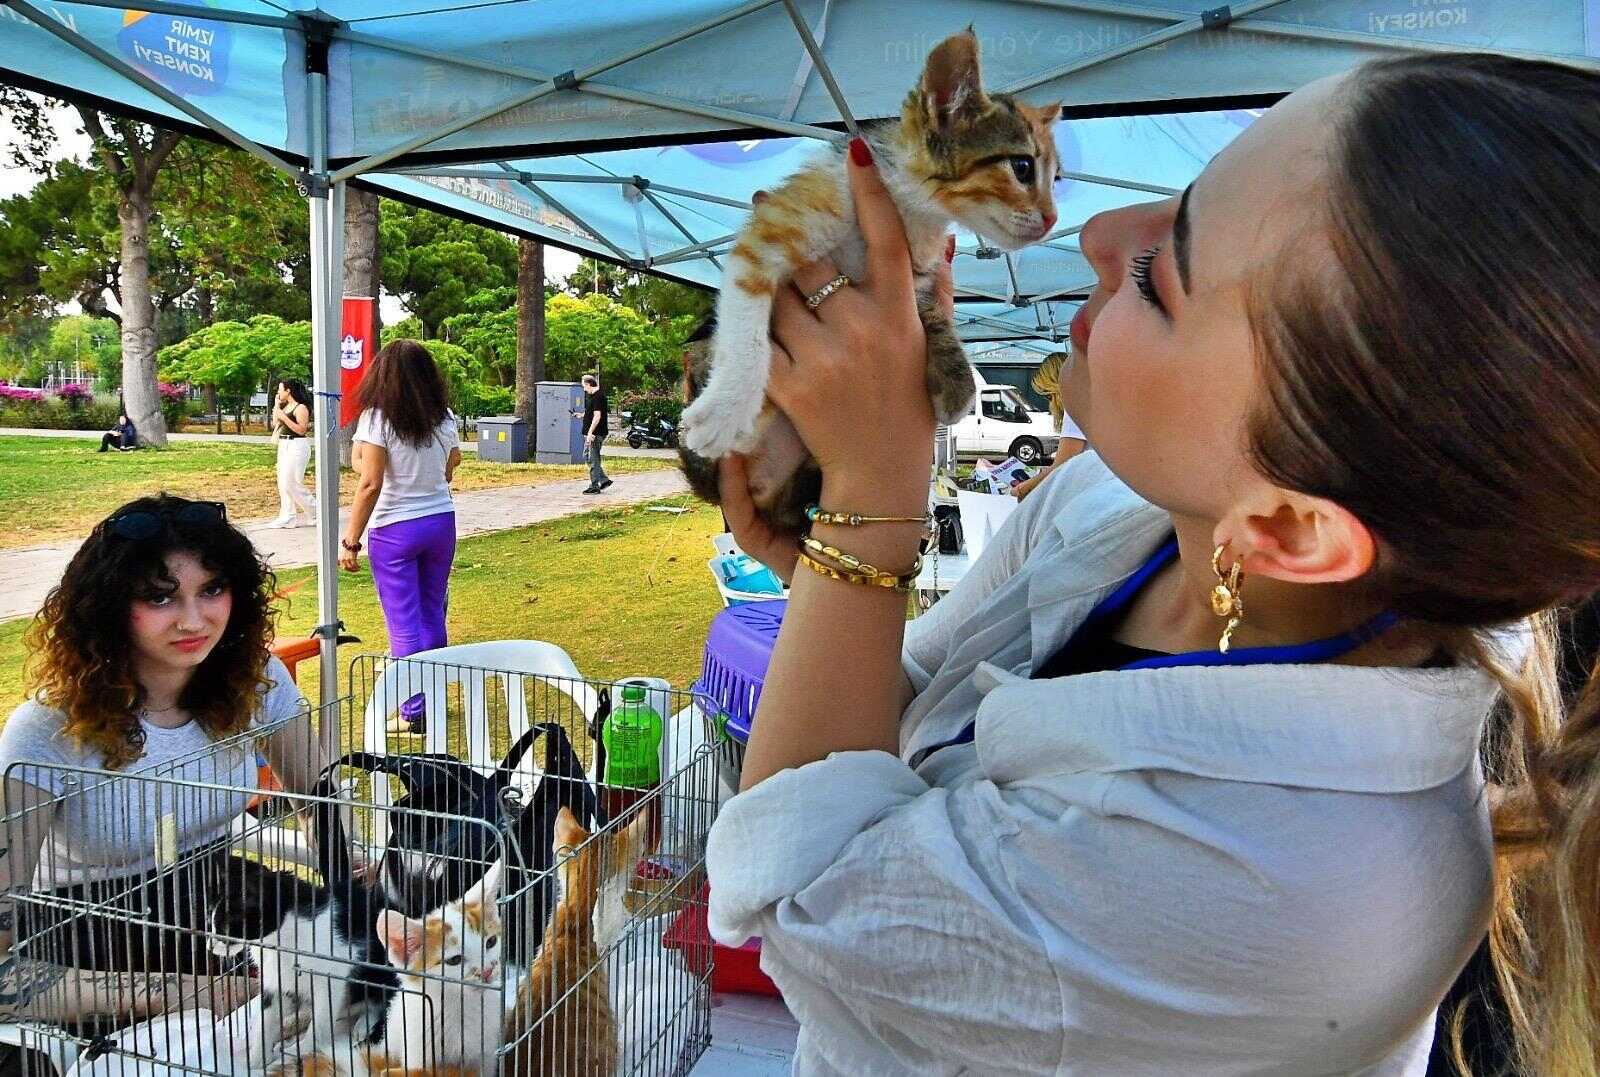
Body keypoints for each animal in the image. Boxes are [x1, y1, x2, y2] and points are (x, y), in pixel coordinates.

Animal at [678, 31, 1062, 534]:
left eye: (1055, 178)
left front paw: (955, 381)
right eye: (1022, 168)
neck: (910, 206)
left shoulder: (916, 271)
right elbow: (746, 329)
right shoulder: (771, 233)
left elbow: (930, 314)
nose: (1052, 219)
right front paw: (726, 408)